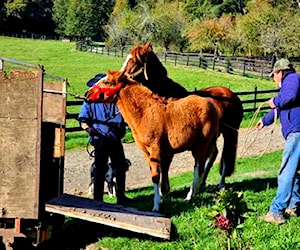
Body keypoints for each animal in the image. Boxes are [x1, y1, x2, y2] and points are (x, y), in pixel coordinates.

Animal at [85, 70, 219, 211]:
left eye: (106, 82)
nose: (87, 94)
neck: (145, 113)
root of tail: (211, 105)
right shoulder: (146, 152)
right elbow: (155, 174)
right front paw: (160, 199)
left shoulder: (155, 149)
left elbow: (155, 176)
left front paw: (156, 206)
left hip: (201, 145)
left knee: (198, 168)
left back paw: (190, 196)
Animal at [120, 42, 244, 188]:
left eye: (133, 60)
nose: (120, 76)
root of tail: (232, 95)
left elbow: (165, 166)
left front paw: (165, 189)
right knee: (214, 155)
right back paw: (203, 182)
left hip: (230, 133)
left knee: (226, 157)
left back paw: (221, 184)